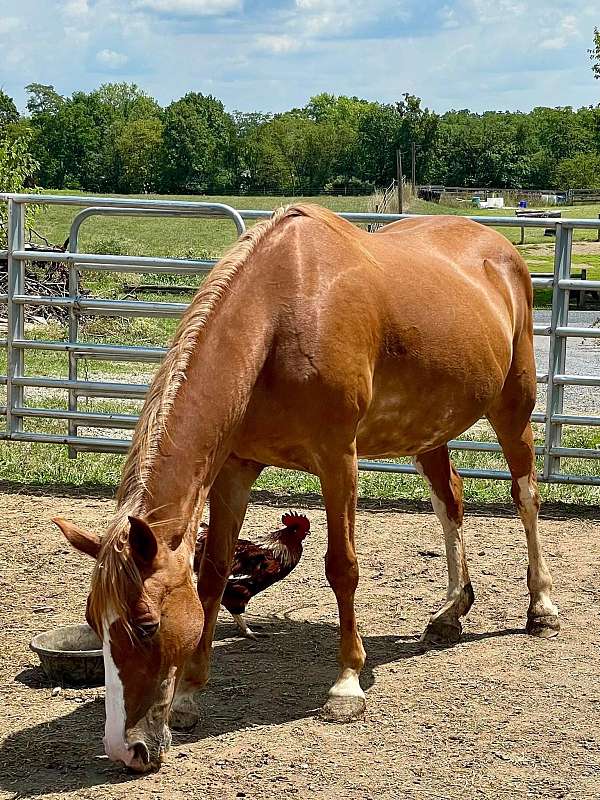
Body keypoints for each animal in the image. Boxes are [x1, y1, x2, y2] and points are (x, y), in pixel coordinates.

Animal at [54, 203, 560, 772]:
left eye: (145, 624)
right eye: (95, 622)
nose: (125, 749)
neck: (282, 313)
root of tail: (500, 249)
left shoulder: (338, 460)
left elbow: (342, 568)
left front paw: (346, 687)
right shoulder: (234, 468)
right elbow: (214, 575)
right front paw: (188, 696)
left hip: (513, 406)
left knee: (526, 496)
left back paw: (541, 607)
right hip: (429, 428)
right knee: (449, 501)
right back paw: (451, 612)